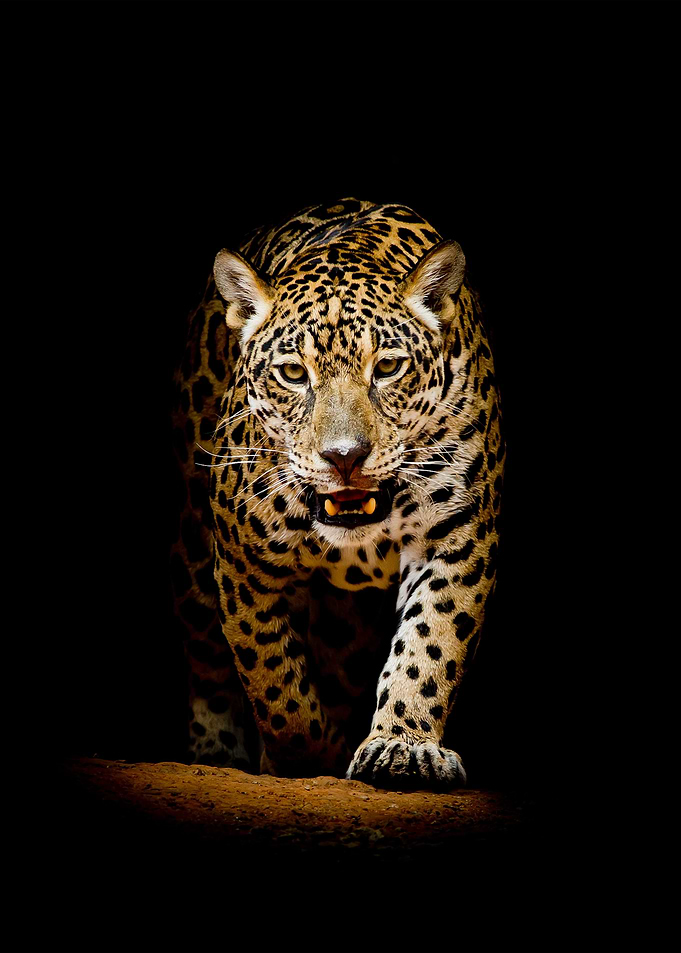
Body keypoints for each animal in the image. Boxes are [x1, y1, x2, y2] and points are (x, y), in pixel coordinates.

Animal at [170, 198, 504, 790]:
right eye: (292, 373)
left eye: (388, 367)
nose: (344, 456)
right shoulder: (242, 561)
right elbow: (273, 679)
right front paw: (305, 757)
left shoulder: (458, 538)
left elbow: (431, 643)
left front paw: (402, 746)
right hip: (192, 555)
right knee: (207, 658)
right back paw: (215, 751)